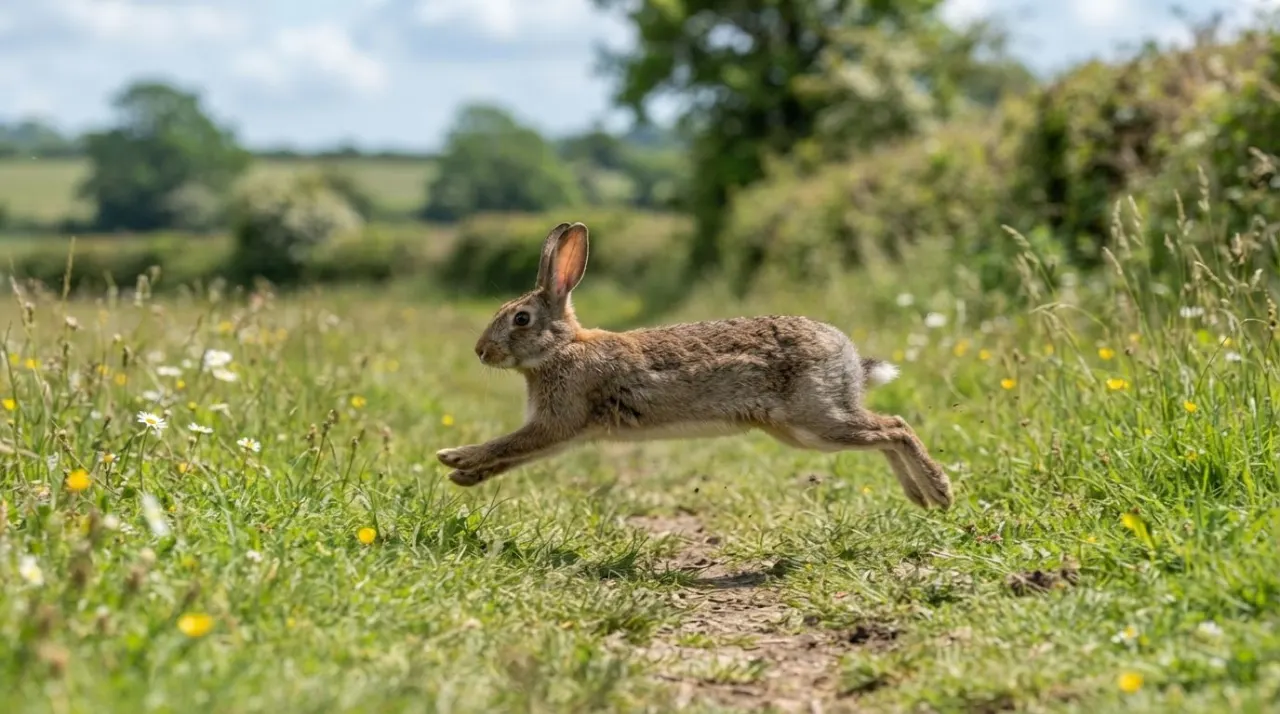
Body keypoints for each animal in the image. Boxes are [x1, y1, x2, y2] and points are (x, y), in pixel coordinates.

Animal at [436, 222, 953, 509]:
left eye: (521, 318)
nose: (481, 351)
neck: (562, 348)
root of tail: (848, 356)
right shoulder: (566, 432)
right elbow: (517, 455)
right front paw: (464, 478)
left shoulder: (559, 418)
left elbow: (509, 443)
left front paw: (455, 457)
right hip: (802, 431)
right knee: (886, 431)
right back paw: (920, 497)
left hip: (817, 419)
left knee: (896, 426)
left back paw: (939, 490)